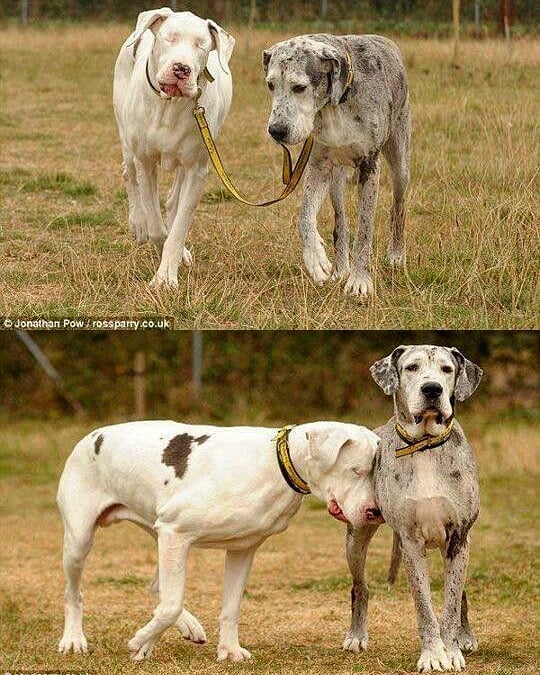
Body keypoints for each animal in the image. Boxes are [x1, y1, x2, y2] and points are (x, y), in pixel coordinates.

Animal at [57, 420, 382, 664]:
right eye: (356, 470)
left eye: (375, 473)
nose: (375, 512)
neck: (276, 464)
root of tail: (91, 435)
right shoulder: (176, 533)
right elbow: (171, 605)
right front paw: (140, 640)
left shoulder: (241, 549)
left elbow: (230, 607)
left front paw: (229, 650)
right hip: (81, 541)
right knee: (75, 593)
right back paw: (74, 639)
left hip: (157, 531)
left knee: (158, 586)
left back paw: (182, 628)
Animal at [113, 7, 233, 288]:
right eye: (170, 37)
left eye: (201, 45)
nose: (181, 68)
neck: (169, 105)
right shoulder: (145, 162)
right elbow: (157, 226)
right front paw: (155, 239)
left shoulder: (196, 170)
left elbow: (179, 227)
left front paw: (166, 275)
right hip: (127, 139)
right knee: (128, 174)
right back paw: (138, 223)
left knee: (173, 200)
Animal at [264, 35, 412, 298]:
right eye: (271, 85)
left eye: (299, 87)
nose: (276, 131)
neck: (338, 103)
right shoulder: (319, 168)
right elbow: (305, 216)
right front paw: (315, 258)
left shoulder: (369, 167)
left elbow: (365, 229)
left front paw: (360, 281)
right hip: (336, 179)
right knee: (341, 223)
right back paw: (341, 269)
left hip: (400, 164)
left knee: (398, 207)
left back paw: (396, 255)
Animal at [344, 346, 484, 672]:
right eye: (411, 367)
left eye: (447, 369)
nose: (432, 389)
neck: (424, 447)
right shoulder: (411, 542)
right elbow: (424, 607)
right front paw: (433, 655)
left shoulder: (458, 539)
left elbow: (450, 604)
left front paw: (451, 650)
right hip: (356, 539)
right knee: (361, 587)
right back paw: (356, 635)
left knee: (460, 594)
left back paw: (466, 636)